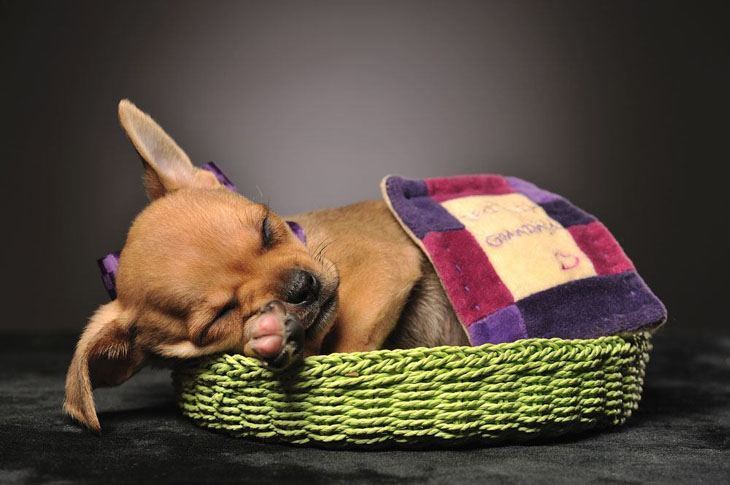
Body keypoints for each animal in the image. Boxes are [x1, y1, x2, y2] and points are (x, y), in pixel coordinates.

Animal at [67, 100, 466, 430]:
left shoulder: (382, 267)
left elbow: (345, 347)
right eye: (221, 315)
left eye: (266, 229)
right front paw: (270, 334)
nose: (302, 287)